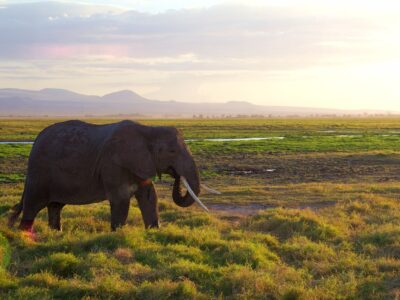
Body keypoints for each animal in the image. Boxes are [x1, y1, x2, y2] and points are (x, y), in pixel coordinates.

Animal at [7, 120, 208, 232]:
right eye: (172, 151)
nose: (177, 175)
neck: (149, 129)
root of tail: (35, 141)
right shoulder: (113, 163)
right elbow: (121, 199)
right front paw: (117, 233)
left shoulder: (140, 163)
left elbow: (150, 196)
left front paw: (154, 232)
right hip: (39, 173)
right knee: (32, 206)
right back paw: (23, 235)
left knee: (55, 206)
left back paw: (56, 233)